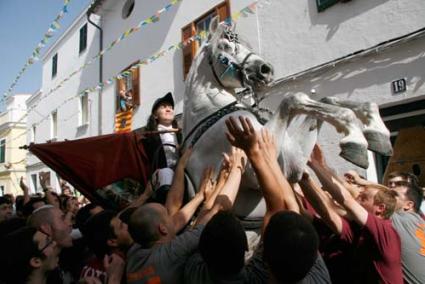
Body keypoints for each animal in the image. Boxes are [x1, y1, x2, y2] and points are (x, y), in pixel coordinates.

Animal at [181, 18, 390, 221]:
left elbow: (323, 100)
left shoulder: (292, 162)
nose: (266, 70)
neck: (212, 112)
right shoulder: (261, 169)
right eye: (224, 46)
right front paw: (356, 136)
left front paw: (372, 128)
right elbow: (293, 98)